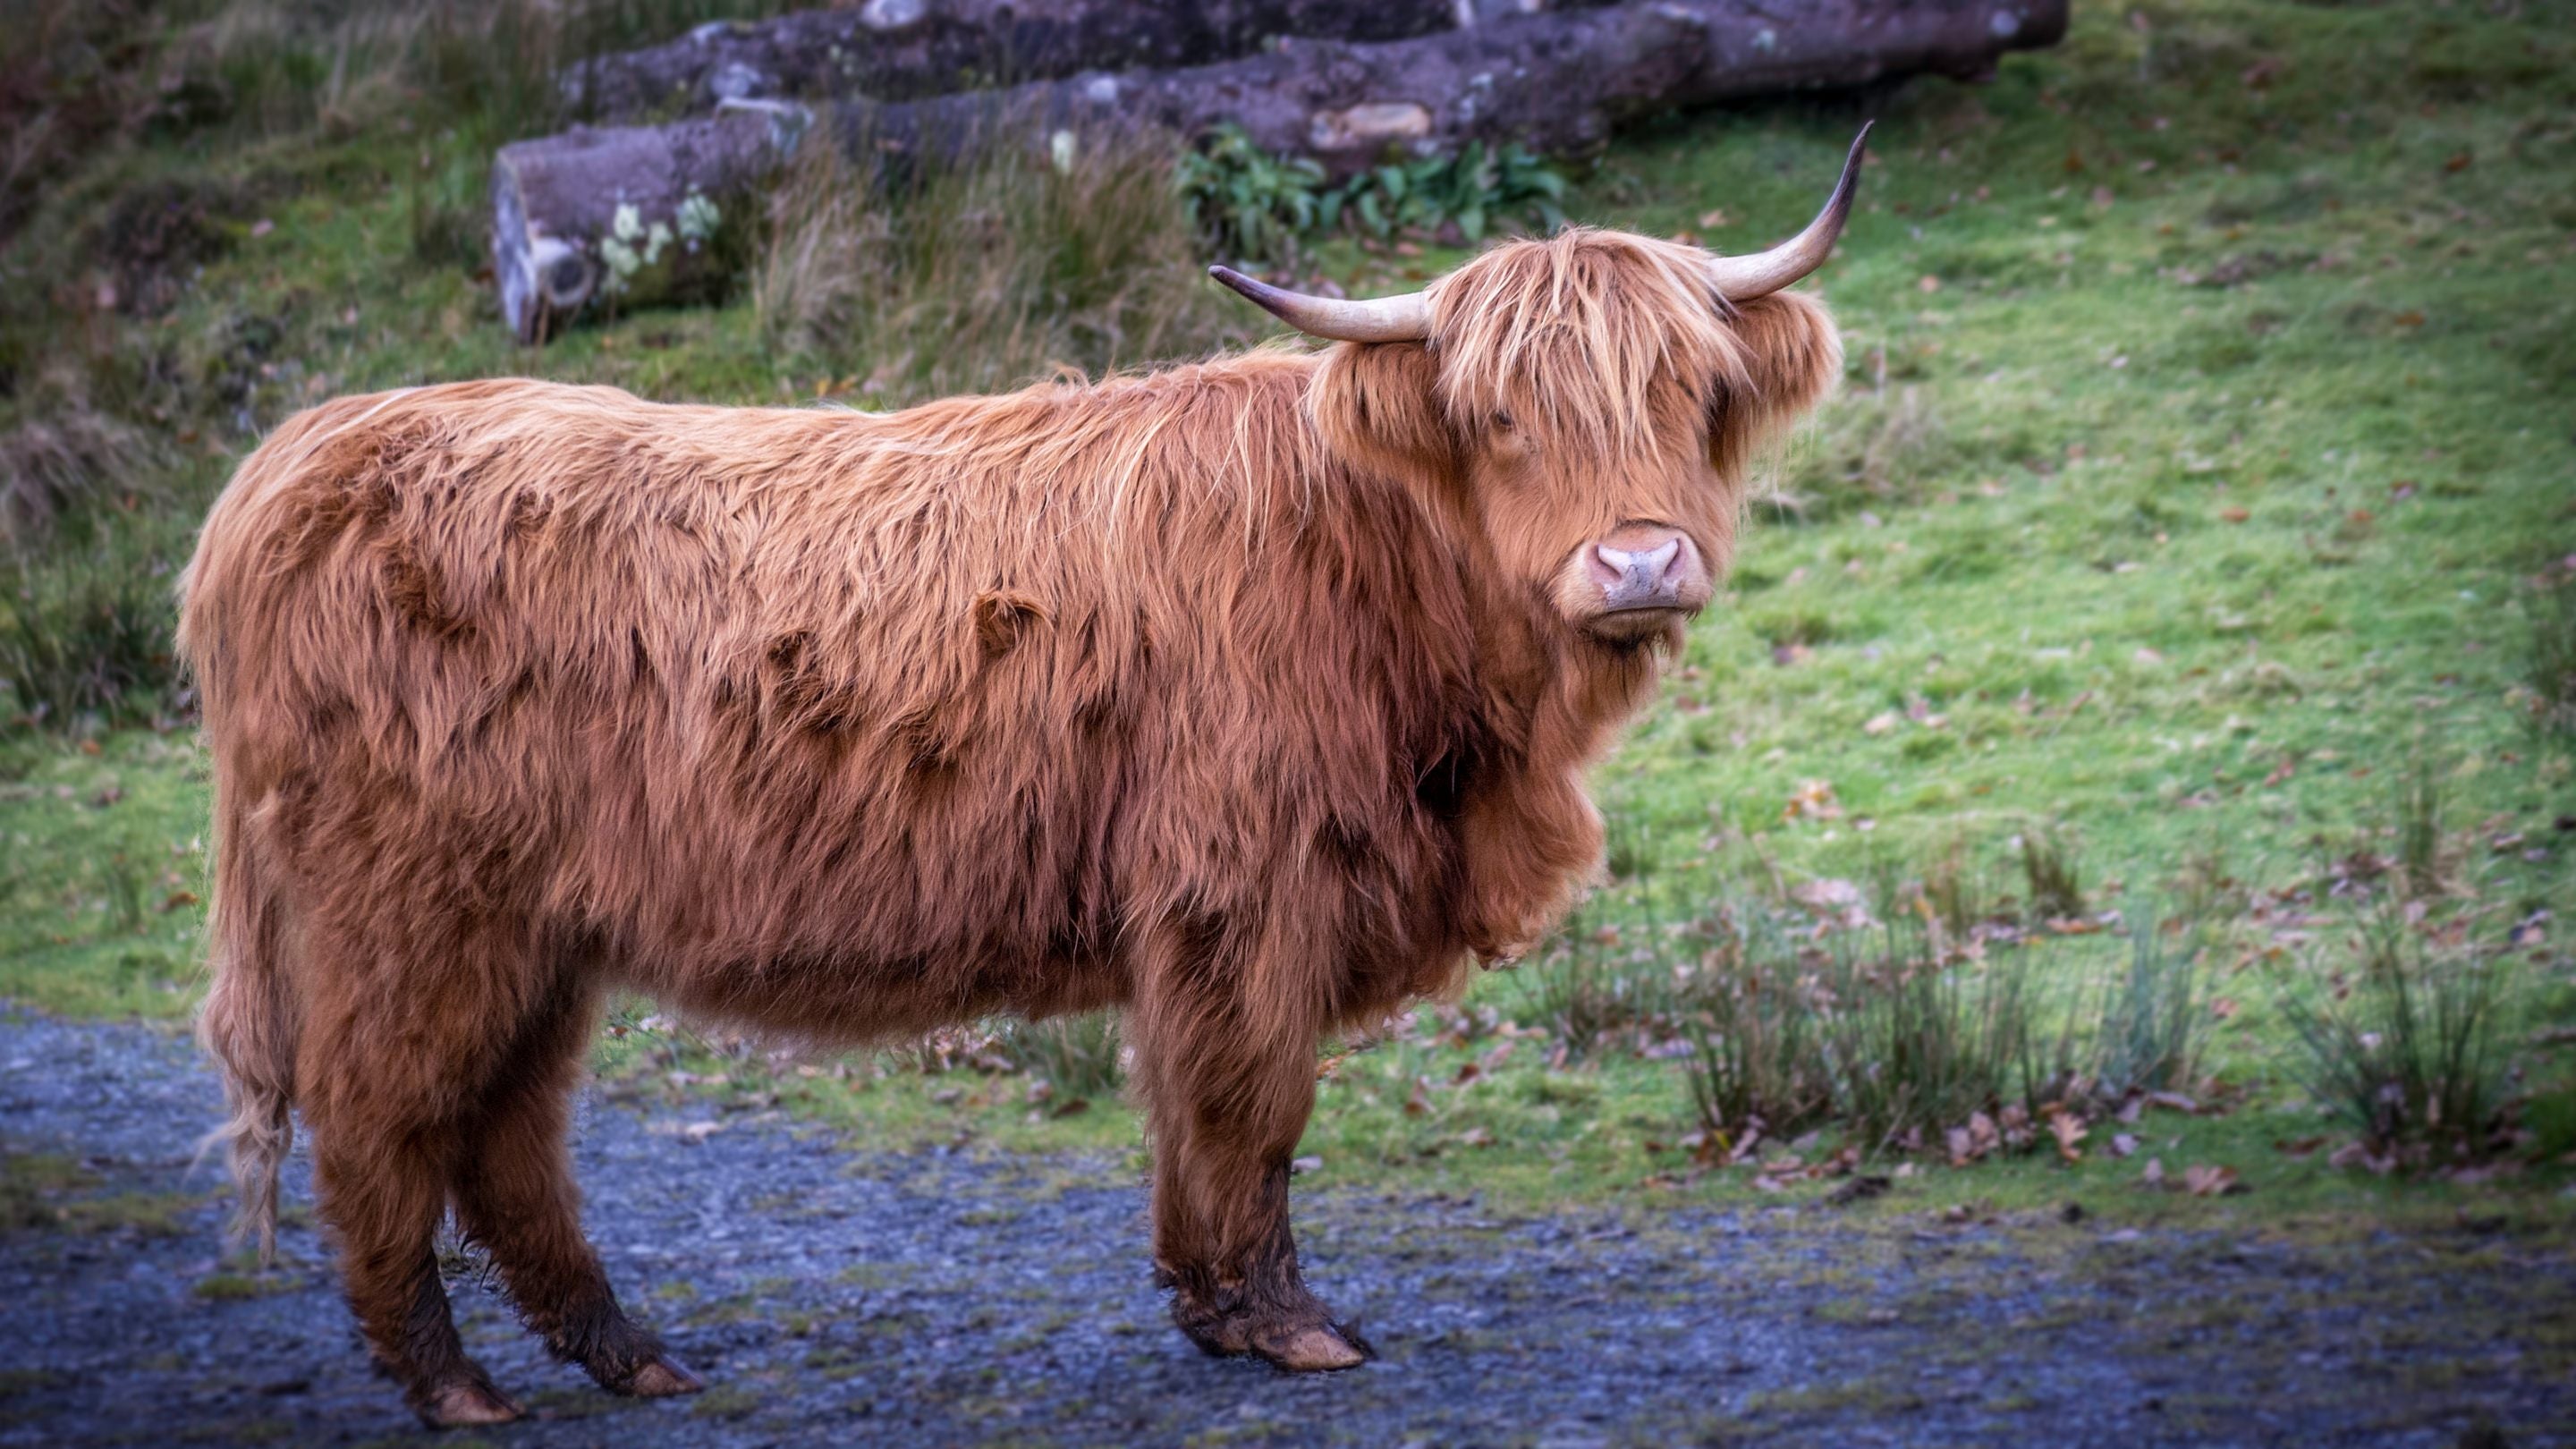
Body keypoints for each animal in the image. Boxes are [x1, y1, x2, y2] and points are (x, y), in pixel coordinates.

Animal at [178, 130, 1864, 1427]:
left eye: (1687, 396)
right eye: (1504, 417)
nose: (1638, 562)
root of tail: (302, 455)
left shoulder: (1197, 918)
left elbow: (1192, 1104)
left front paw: (1211, 1309)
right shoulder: (1248, 888)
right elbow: (1257, 1104)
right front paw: (1290, 1326)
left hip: (536, 933)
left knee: (506, 1136)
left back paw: (628, 1357)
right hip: (414, 911)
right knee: (381, 1120)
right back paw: (454, 1385)